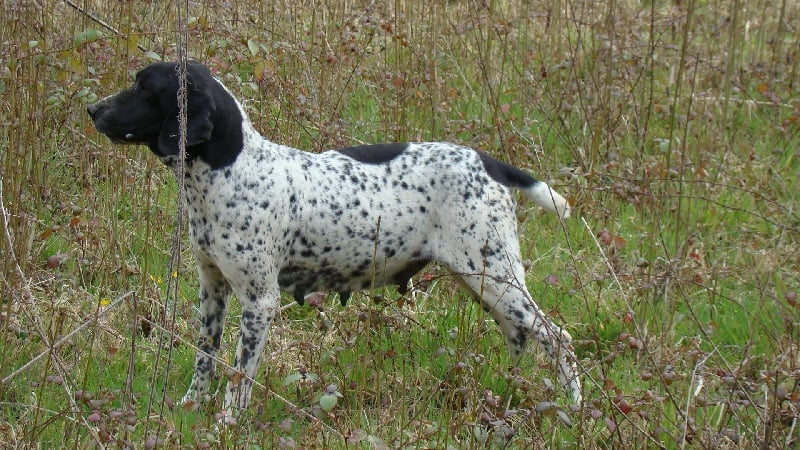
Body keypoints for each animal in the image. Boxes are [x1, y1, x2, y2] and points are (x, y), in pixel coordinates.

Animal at [87, 61, 580, 414]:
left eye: (144, 88)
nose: (92, 109)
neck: (231, 169)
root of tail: (488, 162)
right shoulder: (213, 289)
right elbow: (205, 358)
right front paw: (190, 407)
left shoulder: (259, 302)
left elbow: (239, 378)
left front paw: (226, 423)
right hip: (486, 285)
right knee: (520, 337)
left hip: (495, 277)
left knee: (558, 339)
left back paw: (574, 409)